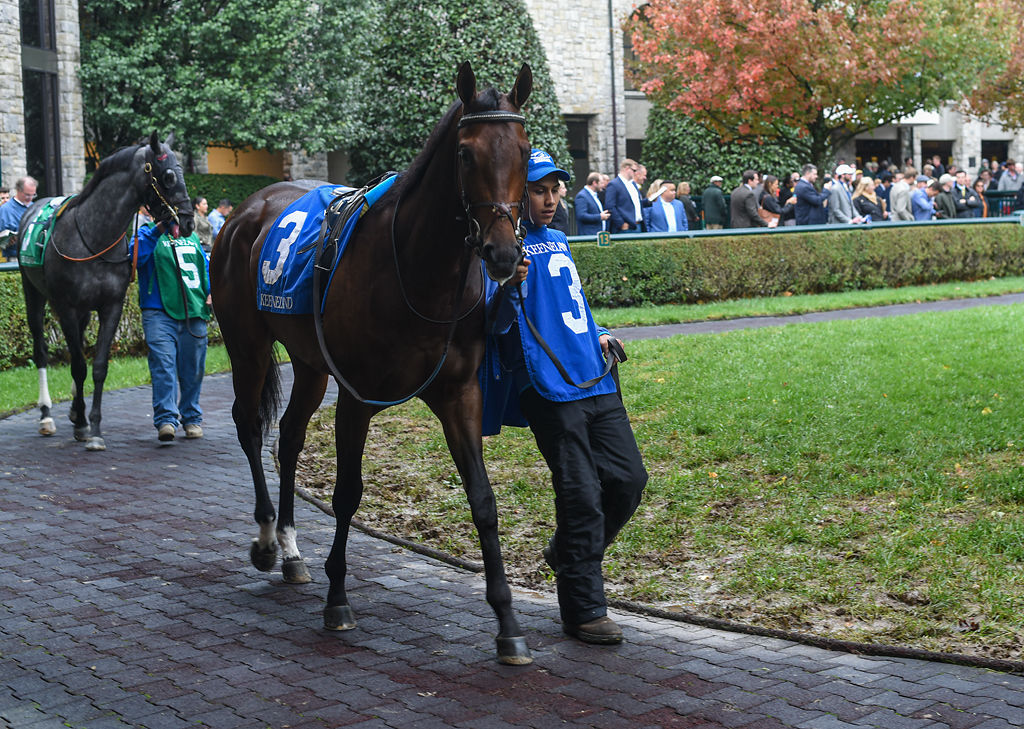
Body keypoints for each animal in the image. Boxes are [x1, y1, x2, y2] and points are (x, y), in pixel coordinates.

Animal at [18, 132, 193, 450]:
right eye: (169, 176)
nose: (187, 221)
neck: (93, 238)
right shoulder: (66, 306)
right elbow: (78, 365)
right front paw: (85, 426)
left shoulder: (111, 305)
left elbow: (98, 366)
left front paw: (93, 428)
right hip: (33, 293)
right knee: (41, 350)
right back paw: (47, 415)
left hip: (83, 311)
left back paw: (75, 412)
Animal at [206, 62, 528, 663]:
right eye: (465, 154)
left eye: (524, 149)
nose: (502, 254)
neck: (421, 275)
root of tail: (246, 210)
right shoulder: (357, 396)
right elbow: (347, 493)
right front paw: (337, 599)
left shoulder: (460, 393)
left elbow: (483, 499)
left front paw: (507, 621)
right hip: (247, 345)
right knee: (250, 425)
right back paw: (266, 539)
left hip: (310, 363)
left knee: (289, 435)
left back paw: (291, 550)